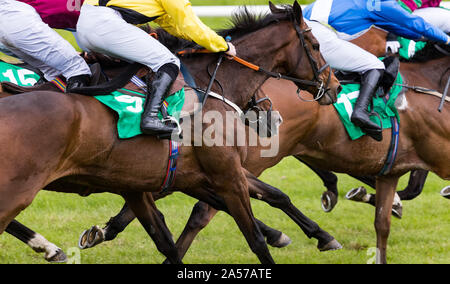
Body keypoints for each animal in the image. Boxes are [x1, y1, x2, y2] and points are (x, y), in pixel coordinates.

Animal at [0, 2, 342, 264]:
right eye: (315, 46)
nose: (335, 87)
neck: (206, 85)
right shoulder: (225, 172)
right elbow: (252, 231)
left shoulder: (178, 176)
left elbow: (267, 196)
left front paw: (317, 235)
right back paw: (48, 247)